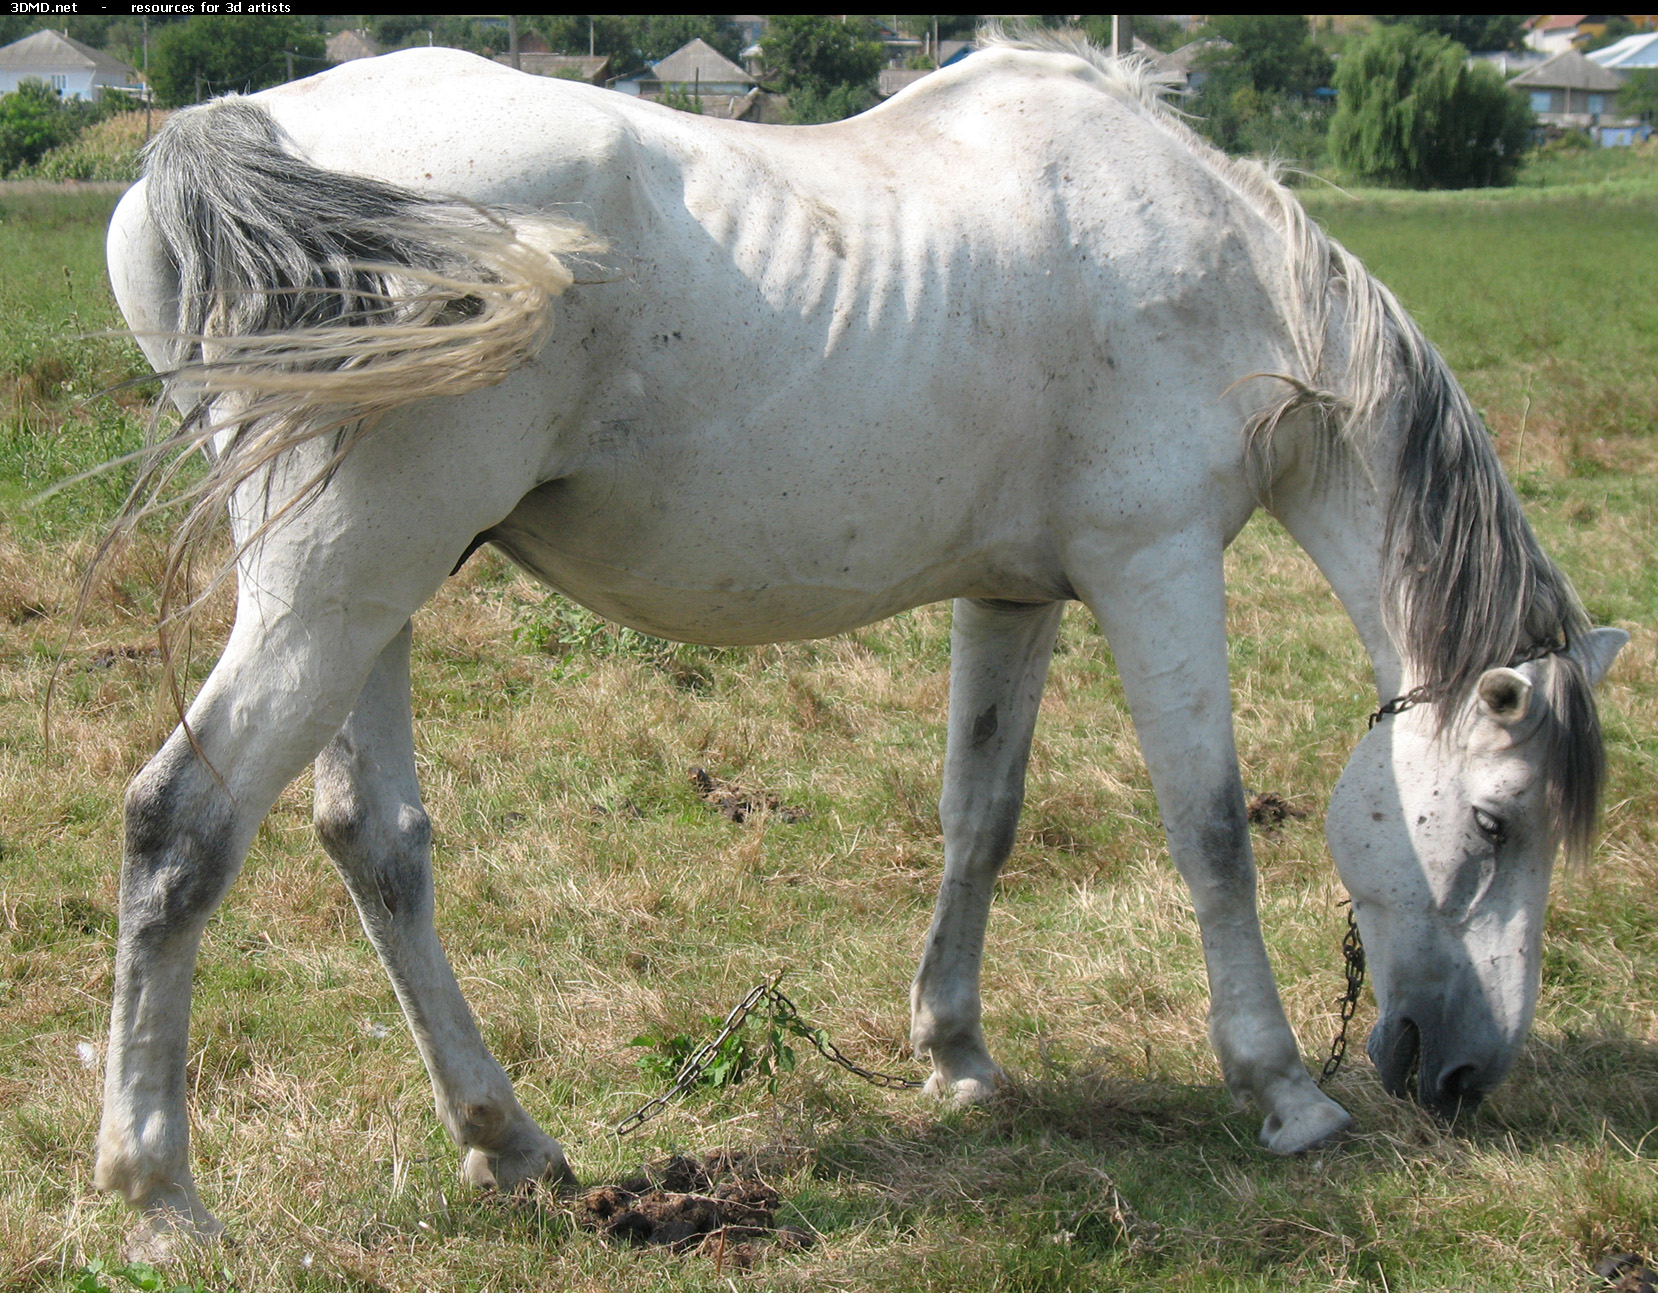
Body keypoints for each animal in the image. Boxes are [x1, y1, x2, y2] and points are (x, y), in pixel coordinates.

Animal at [94, 37, 1618, 1253]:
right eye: (1493, 823)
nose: (1463, 1078)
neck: (1227, 274)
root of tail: (240, 126)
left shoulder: (1013, 598)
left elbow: (979, 817)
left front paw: (956, 1055)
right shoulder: (1158, 570)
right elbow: (1211, 835)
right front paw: (1284, 1093)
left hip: (371, 594)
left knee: (376, 841)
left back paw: (507, 1144)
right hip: (340, 584)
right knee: (181, 825)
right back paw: (160, 1199)